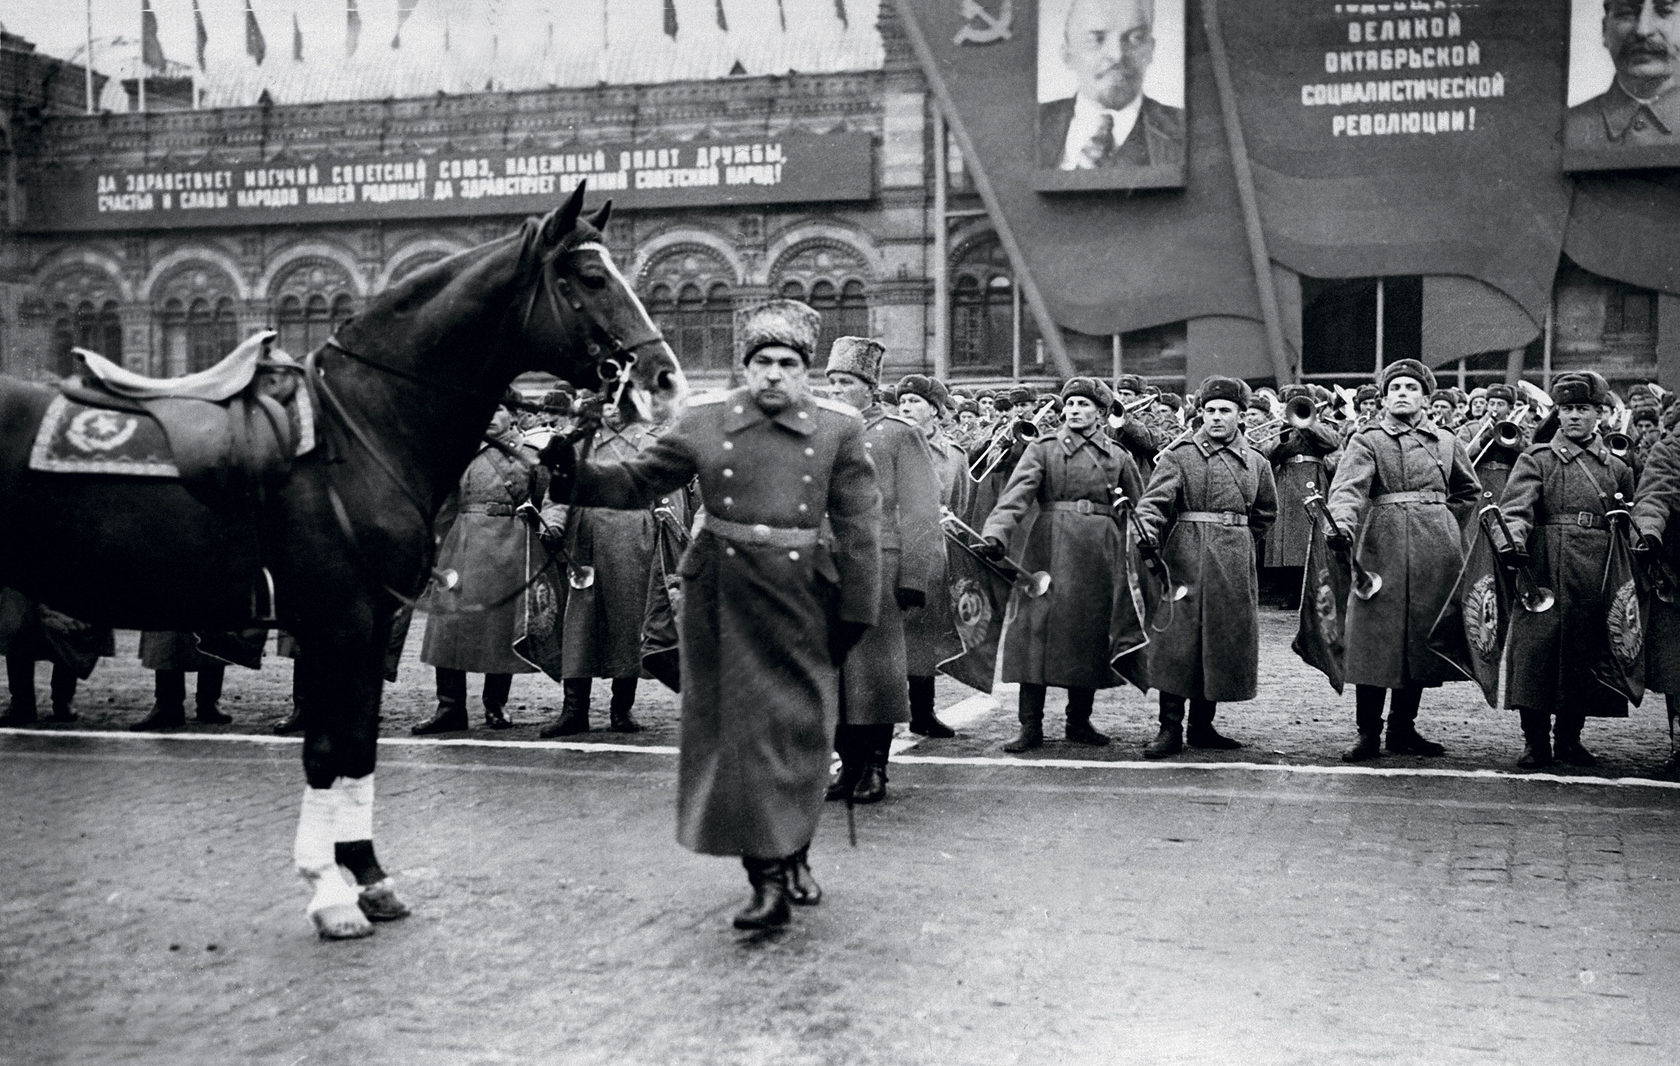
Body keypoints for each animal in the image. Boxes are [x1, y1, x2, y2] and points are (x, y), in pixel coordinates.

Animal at [0, 183, 688, 940]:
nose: (665, 379)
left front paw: (367, 876)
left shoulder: (367, 621)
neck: (360, 430)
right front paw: (332, 892)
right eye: (591, 277)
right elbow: (330, 748)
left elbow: (355, 743)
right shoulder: (339, 620)